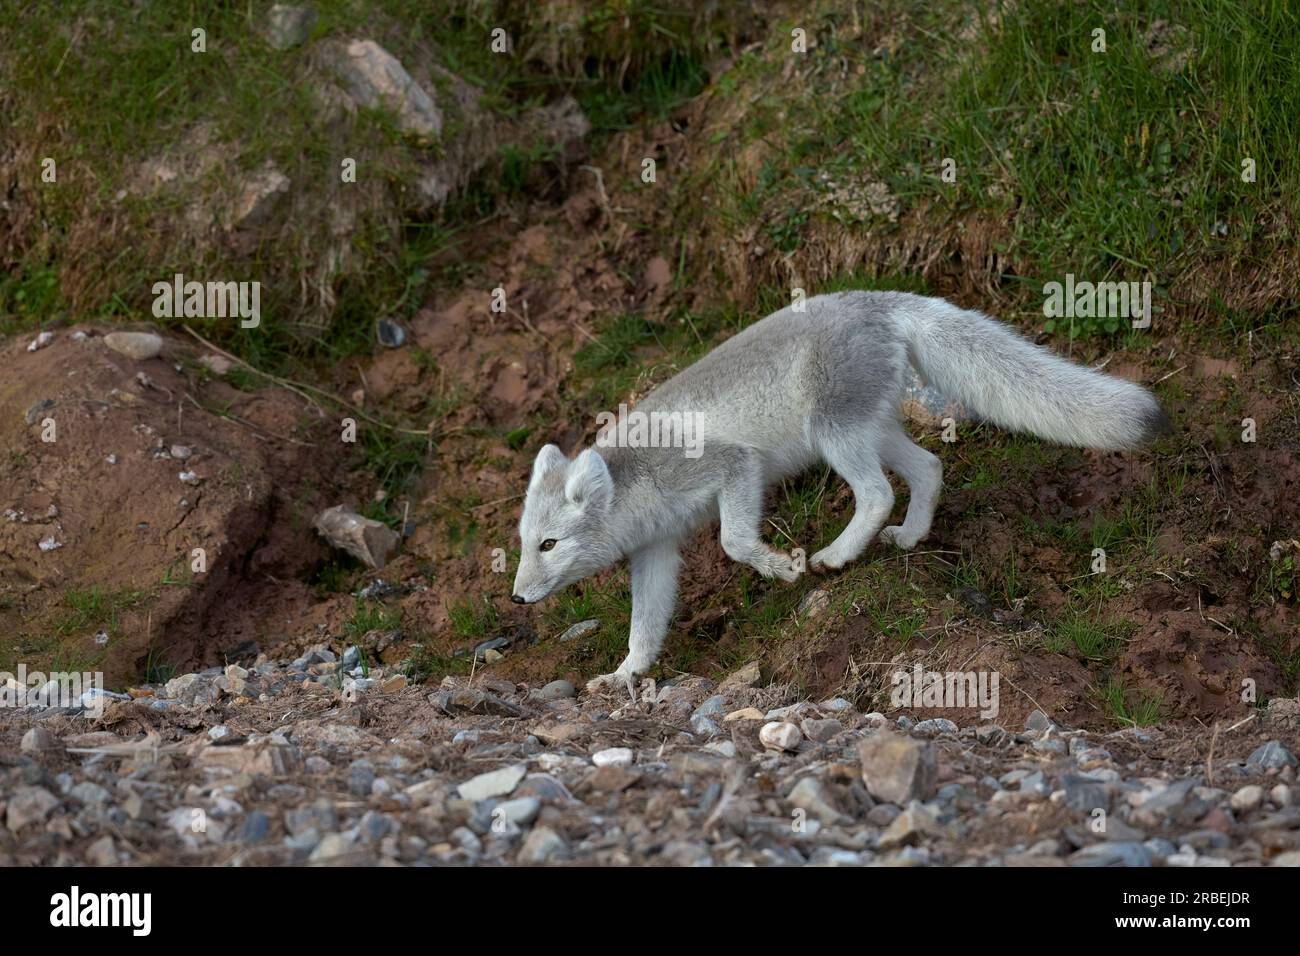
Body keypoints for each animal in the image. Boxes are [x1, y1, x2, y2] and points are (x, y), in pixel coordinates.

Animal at [506, 291, 1170, 697]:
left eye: (549, 544)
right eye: (523, 544)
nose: (515, 598)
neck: (633, 481)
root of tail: (879, 299)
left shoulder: (733, 466)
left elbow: (734, 541)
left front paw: (781, 568)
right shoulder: (656, 550)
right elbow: (645, 626)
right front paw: (625, 674)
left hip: (834, 432)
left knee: (877, 493)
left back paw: (837, 555)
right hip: (872, 428)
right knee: (929, 468)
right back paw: (910, 536)